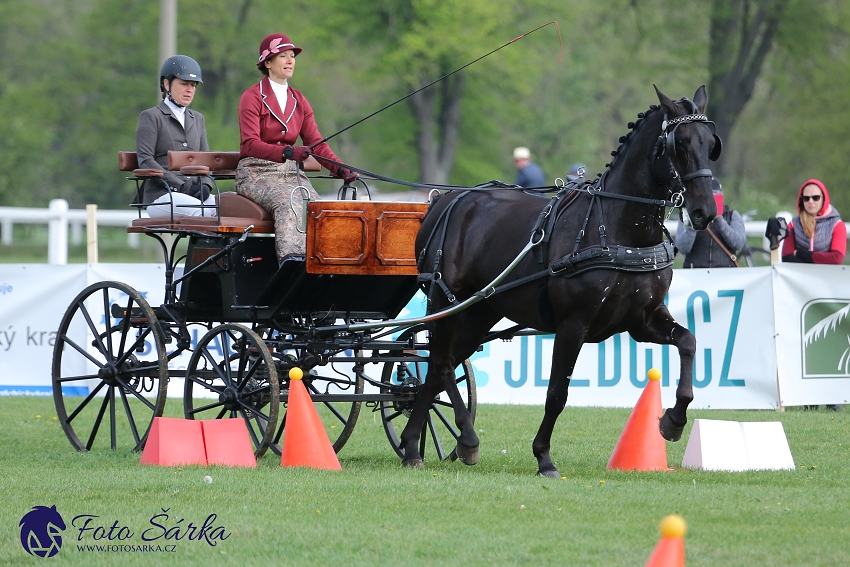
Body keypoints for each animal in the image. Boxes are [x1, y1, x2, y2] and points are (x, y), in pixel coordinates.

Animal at [402, 86, 716, 478]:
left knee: (436, 369)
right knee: (442, 363)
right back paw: (466, 439)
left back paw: (412, 445)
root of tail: (444, 200)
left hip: (481, 311)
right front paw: (544, 457)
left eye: (711, 143)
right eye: (681, 144)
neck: (616, 227)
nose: (706, 212)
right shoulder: (573, 325)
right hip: (446, 302)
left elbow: (688, 342)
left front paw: (673, 421)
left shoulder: (642, 320)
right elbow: (556, 394)